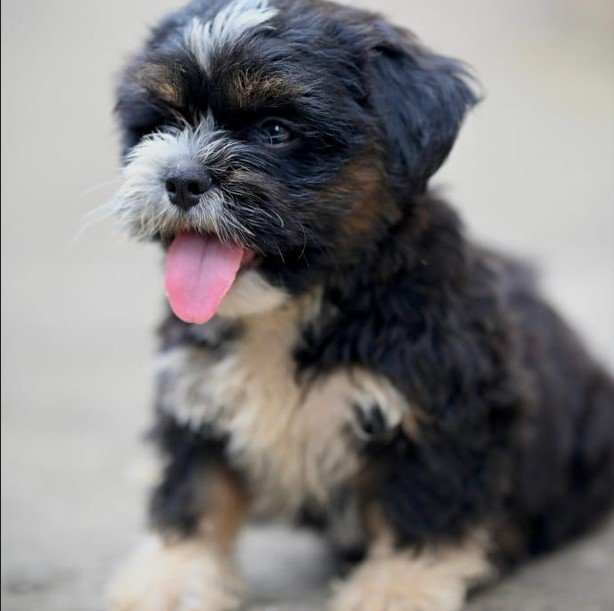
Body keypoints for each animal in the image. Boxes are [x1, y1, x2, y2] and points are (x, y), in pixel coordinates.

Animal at [107, 1, 614, 611]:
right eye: (163, 122)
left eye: (276, 130)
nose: (180, 178)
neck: (293, 308)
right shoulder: (195, 389)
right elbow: (196, 486)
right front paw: (175, 575)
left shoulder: (445, 404)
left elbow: (425, 502)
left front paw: (399, 588)